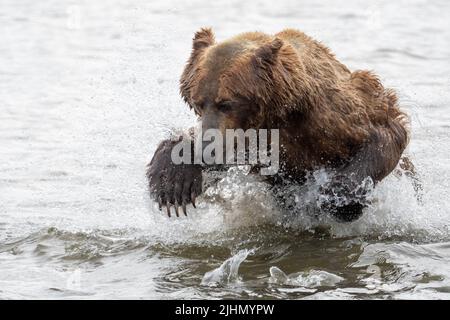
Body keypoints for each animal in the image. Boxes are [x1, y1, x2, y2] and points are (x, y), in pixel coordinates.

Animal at [147, 28, 412, 221]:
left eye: (226, 103)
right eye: (198, 102)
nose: (205, 149)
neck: (282, 109)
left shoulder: (334, 115)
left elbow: (385, 133)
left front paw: (340, 199)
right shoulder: (252, 142)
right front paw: (173, 183)